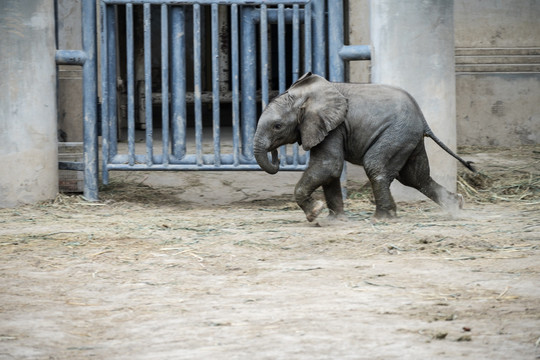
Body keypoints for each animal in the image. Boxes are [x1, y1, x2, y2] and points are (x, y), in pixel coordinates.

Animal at [252, 72, 472, 221]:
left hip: (397, 133)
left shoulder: (333, 126)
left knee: (376, 166)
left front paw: (315, 213)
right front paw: (335, 220)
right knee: (415, 177)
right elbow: (330, 171)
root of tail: (423, 120)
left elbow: (328, 165)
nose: (276, 155)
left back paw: (383, 218)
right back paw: (457, 205)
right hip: (409, 138)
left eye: (277, 126)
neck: (306, 95)